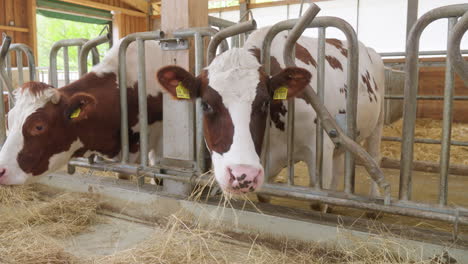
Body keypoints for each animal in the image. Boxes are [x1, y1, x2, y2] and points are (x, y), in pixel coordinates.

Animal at [157, 26, 384, 200]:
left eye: (265, 103)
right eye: (205, 105)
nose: (243, 175)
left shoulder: (321, 153)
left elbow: (319, 201)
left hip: (376, 125)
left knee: (373, 154)